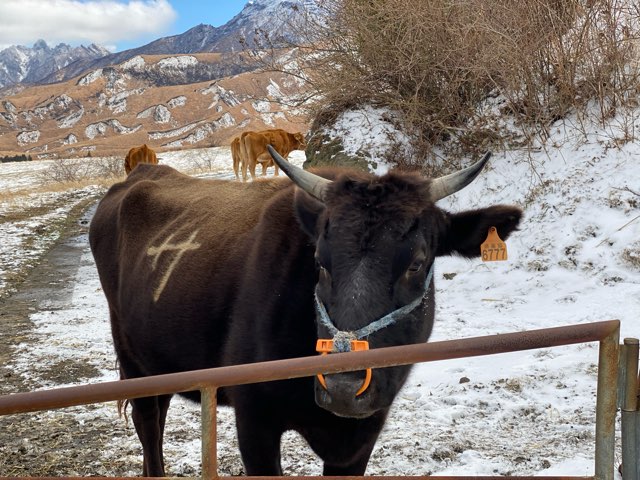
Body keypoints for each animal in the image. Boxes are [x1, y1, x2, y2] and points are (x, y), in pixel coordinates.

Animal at [89, 146, 520, 476]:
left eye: (416, 262)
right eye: (319, 261)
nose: (343, 387)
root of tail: (142, 173)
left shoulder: (363, 433)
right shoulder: (254, 422)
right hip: (131, 358)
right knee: (149, 426)